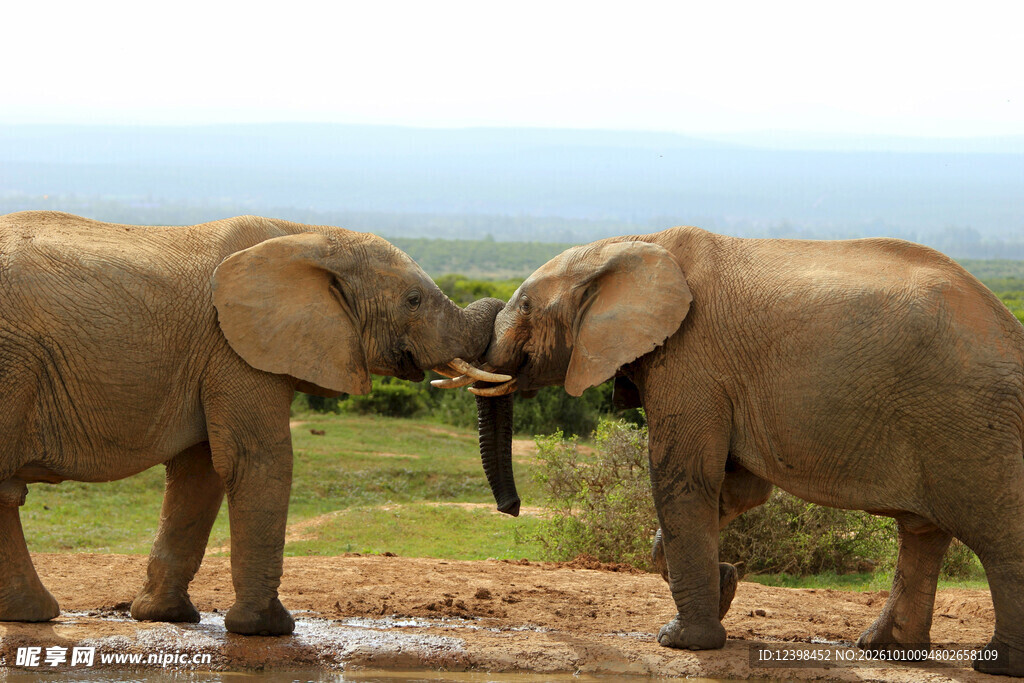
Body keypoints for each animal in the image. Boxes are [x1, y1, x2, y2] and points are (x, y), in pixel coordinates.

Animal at [0, 210, 509, 636]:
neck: (307, 235)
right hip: (14, 361)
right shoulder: (235, 347)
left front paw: (167, 617)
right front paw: (268, 629)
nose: (509, 510)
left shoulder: (216, 354)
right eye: (413, 300)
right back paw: (33, 614)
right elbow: (258, 461)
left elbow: (200, 472)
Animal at [445, 227, 1024, 676]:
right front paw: (724, 585)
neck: (628, 243)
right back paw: (884, 650)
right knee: (922, 532)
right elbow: (740, 488)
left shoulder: (690, 360)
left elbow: (684, 478)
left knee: (997, 536)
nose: (511, 509)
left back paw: (995, 665)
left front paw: (681, 642)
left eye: (524, 306)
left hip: (972, 420)